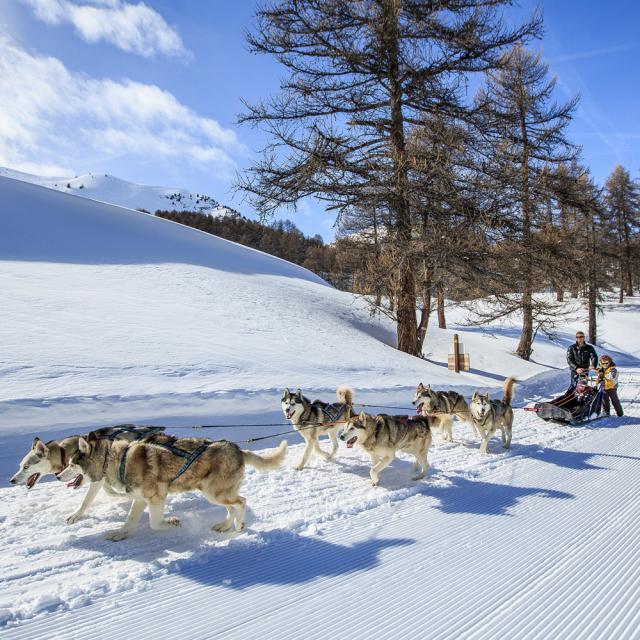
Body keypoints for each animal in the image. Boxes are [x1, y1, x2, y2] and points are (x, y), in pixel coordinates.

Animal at [10, 422, 165, 524]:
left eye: (26, 467)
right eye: (20, 466)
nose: (12, 480)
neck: (64, 452)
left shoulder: (98, 478)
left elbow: (86, 501)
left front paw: (75, 516)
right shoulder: (101, 477)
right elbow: (111, 492)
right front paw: (123, 496)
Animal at [57, 430, 288, 540]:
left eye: (71, 464)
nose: (58, 476)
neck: (119, 459)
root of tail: (239, 449)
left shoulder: (156, 498)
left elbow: (154, 523)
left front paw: (173, 522)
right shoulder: (140, 499)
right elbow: (130, 520)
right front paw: (120, 534)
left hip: (213, 492)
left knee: (241, 502)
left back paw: (239, 526)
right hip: (214, 493)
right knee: (232, 507)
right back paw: (224, 526)